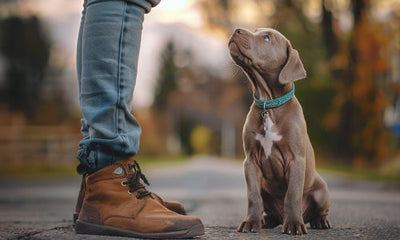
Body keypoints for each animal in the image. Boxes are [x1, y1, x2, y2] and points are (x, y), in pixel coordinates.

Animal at [230, 27, 330, 234]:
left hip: (322, 190)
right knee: (269, 209)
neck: (269, 104)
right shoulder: (250, 161)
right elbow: (253, 196)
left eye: (266, 37)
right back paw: (265, 220)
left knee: (319, 210)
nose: (236, 30)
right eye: (256, 31)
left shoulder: (296, 160)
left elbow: (292, 195)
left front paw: (293, 224)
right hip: (266, 189)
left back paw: (319, 221)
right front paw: (250, 222)